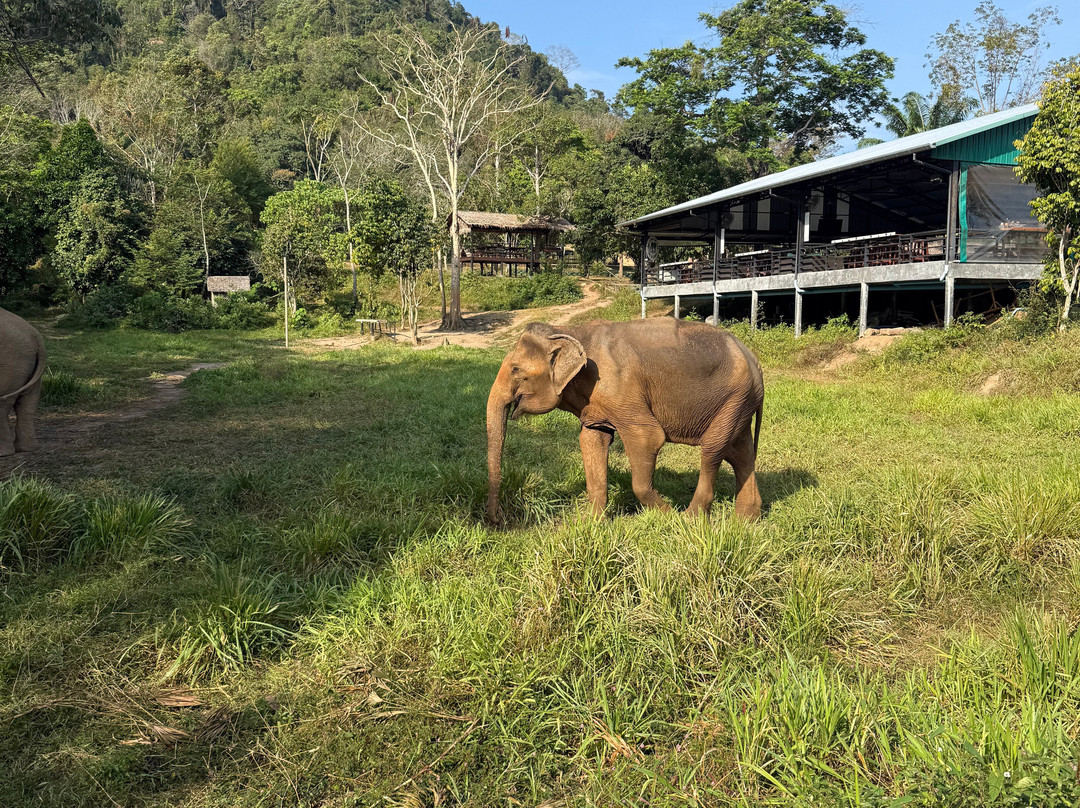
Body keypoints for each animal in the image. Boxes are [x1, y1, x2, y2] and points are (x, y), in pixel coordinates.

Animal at [0, 307, 47, 456]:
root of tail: (36, 338)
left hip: (10, 363)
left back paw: (4, 453)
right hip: (24, 365)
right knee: (28, 404)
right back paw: (28, 449)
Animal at [486, 318, 764, 522]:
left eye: (516, 370)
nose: (497, 520)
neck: (569, 330)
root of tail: (753, 358)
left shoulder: (622, 391)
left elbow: (648, 438)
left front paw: (668, 516)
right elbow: (591, 439)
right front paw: (590, 524)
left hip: (735, 397)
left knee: (713, 450)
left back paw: (690, 518)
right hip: (738, 403)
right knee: (740, 453)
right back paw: (745, 521)